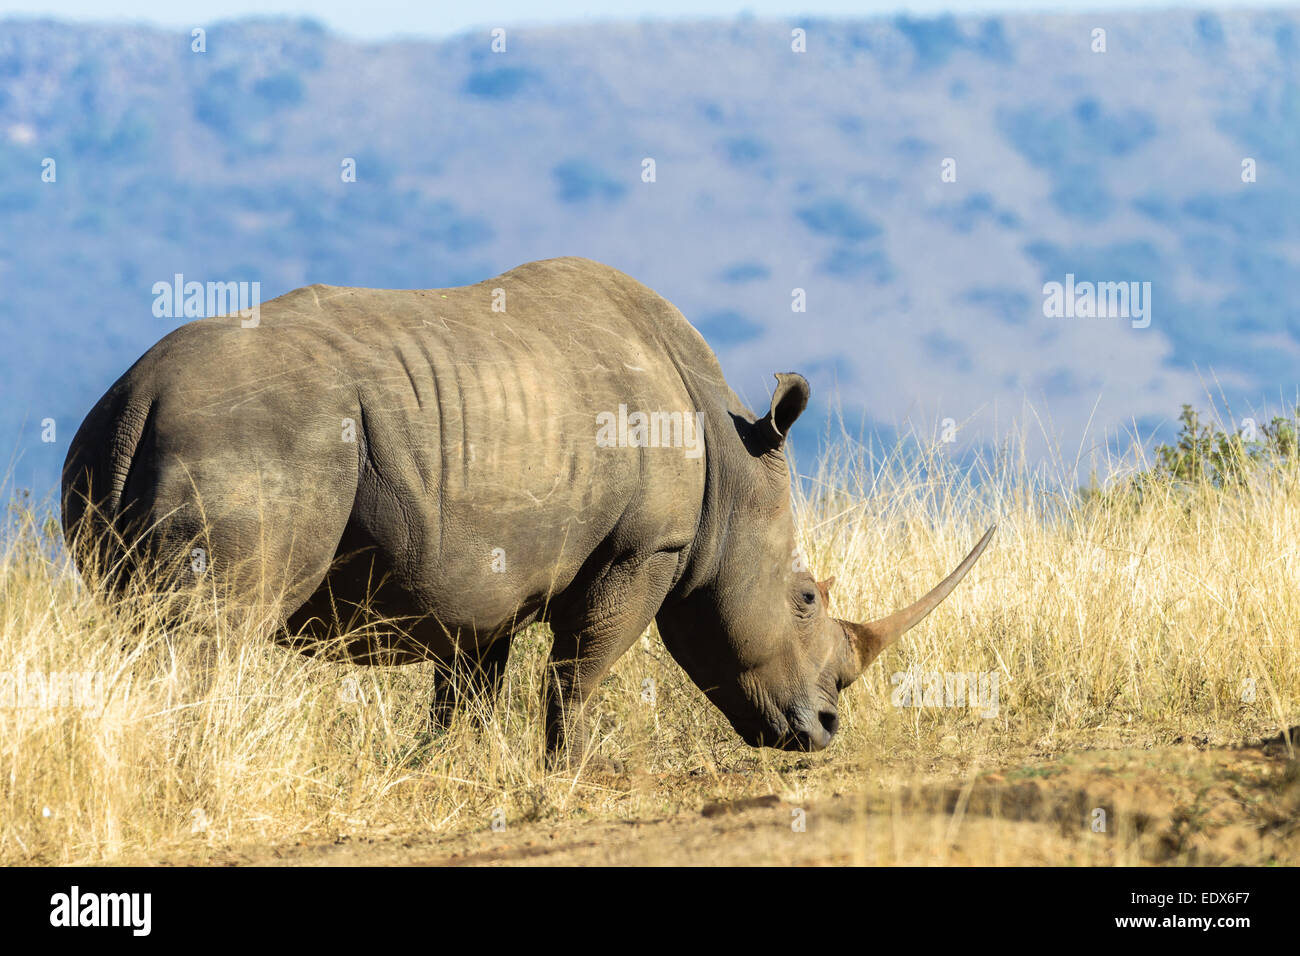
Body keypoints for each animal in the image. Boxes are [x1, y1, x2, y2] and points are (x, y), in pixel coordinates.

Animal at [62, 257, 994, 764]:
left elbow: (470, 685)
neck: (733, 467)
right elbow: (582, 667)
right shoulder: (645, 549)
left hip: (116, 449)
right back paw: (191, 767)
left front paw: (443, 769)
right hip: (259, 437)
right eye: (804, 598)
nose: (827, 728)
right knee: (211, 634)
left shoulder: (486, 571)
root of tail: (136, 400)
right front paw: (573, 771)